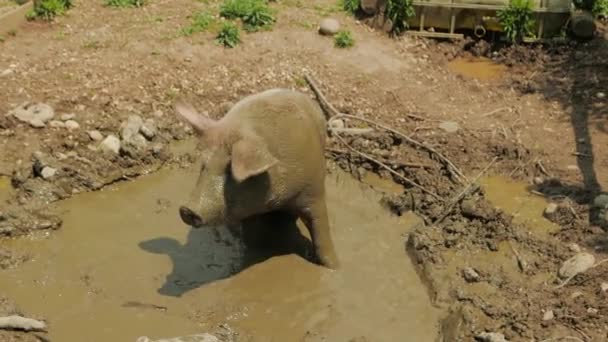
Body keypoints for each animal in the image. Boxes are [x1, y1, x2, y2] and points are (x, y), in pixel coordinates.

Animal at [173, 89, 340, 270]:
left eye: (230, 170)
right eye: (204, 166)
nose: (186, 210)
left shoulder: (314, 188)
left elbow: (321, 232)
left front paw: (335, 267)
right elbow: (252, 240)